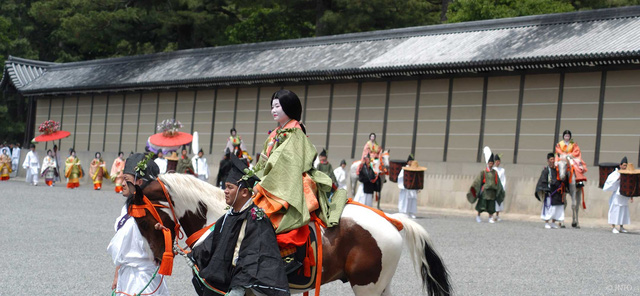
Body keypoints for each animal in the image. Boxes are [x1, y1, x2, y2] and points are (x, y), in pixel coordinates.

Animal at [127, 173, 450, 296]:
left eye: (144, 221)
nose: (156, 259)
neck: (218, 218)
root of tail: (390, 220)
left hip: (366, 286)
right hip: (379, 284)